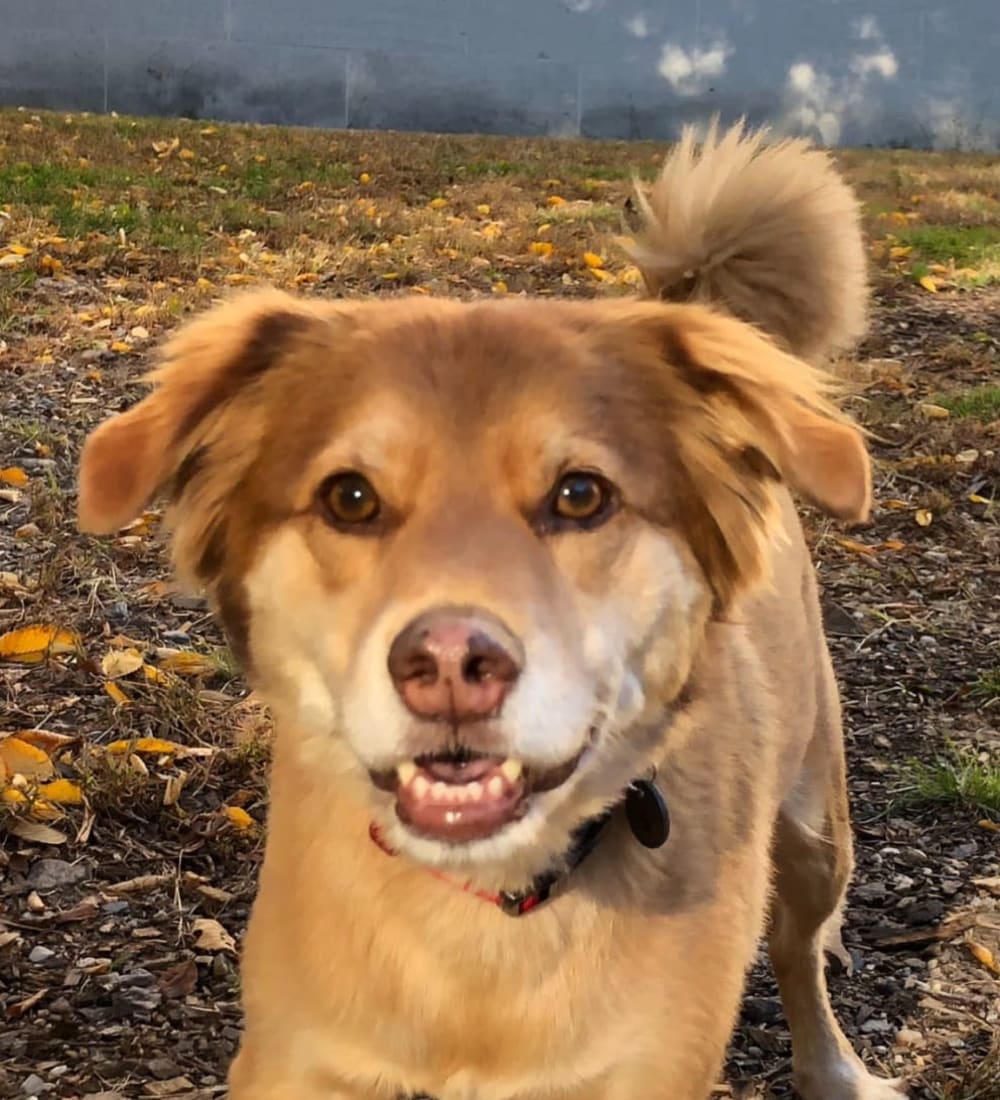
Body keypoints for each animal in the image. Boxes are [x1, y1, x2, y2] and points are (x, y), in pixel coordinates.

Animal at [78, 122, 906, 1100]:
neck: (485, 913)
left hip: (816, 826)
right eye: (349, 497)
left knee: (800, 948)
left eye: (582, 495)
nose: (448, 665)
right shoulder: (295, 1058)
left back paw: (837, 1069)